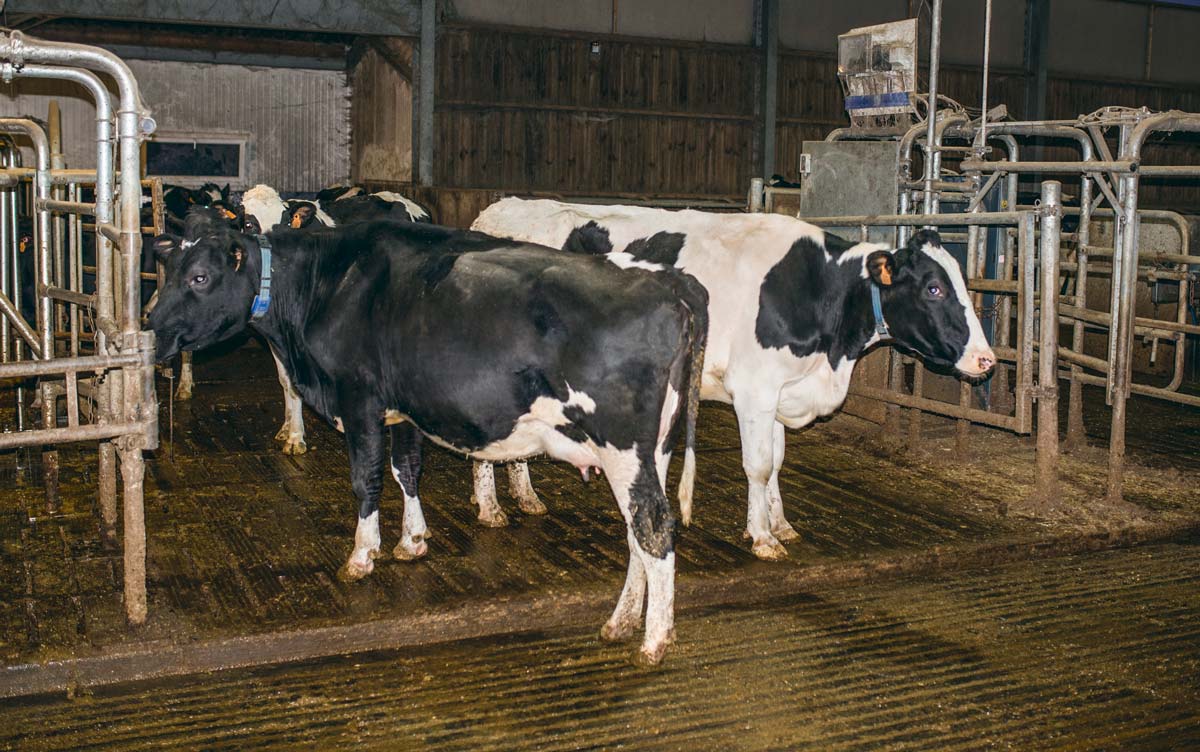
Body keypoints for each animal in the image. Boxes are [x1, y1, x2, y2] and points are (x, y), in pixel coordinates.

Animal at [147, 218, 707, 665]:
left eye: (200, 277)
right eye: (168, 269)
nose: (150, 330)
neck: (323, 286)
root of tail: (669, 284)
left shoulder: (360, 398)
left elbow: (367, 478)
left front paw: (363, 555)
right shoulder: (404, 408)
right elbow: (406, 469)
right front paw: (412, 540)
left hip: (623, 445)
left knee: (653, 526)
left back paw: (653, 642)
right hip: (654, 449)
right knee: (638, 530)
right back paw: (620, 622)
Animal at [471, 198, 996, 560]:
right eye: (934, 288)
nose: (987, 360)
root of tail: (499, 209)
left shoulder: (782, 389)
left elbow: (778, 462)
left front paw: (781, 524)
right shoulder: (754, 390)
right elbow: (759, 465)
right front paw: (762, 537)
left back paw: (526, 498)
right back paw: (491, 509)